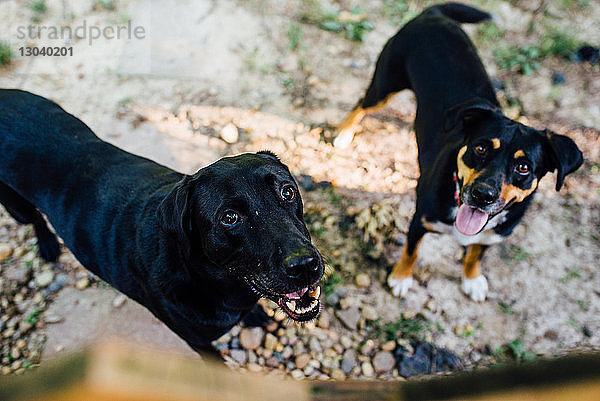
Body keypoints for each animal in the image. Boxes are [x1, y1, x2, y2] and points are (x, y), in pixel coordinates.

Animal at [0, 89, 324, 352]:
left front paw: (256, 315)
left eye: (287, 191)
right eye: (229, 218)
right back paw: (48, 245)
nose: (305, 265)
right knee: (34, 218)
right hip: (15, 205)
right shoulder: (198, 343)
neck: (211, 280)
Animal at [336, 3, 584, 300]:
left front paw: (472, 279)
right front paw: (401, 277)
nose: (482, 195)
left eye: (523, 167)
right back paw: (343, 134)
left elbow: (475, 255)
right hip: (385, 83)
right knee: (361, 104)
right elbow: (411, 252)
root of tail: (432, 15)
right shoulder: (420, 220)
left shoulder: (492, 236)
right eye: (480, 147)